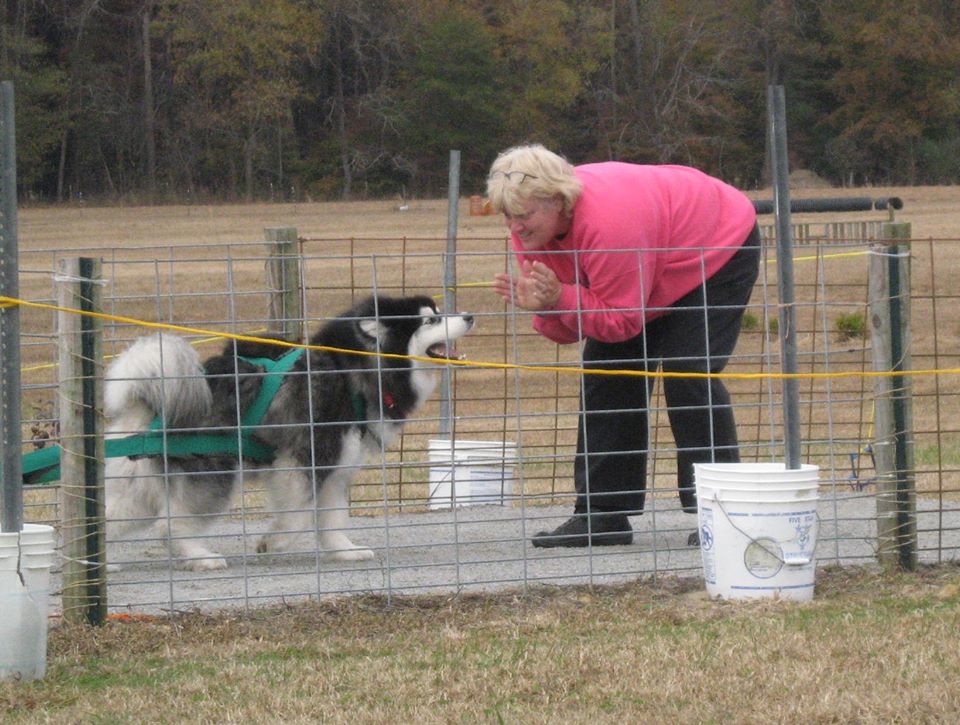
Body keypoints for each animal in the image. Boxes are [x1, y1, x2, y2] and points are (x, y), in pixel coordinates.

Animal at [103, 294, 474, 572]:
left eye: (440, 312)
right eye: (430, 321)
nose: (469, 315)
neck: (349, 372)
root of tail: (148, 403)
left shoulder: (336, 468)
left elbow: (333, 519)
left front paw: (344, 550)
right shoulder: (304, 459)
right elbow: (298, 514)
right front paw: (275, 540)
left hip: (139, 483)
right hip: (213, 471)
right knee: (169, 525)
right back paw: (201, 557)